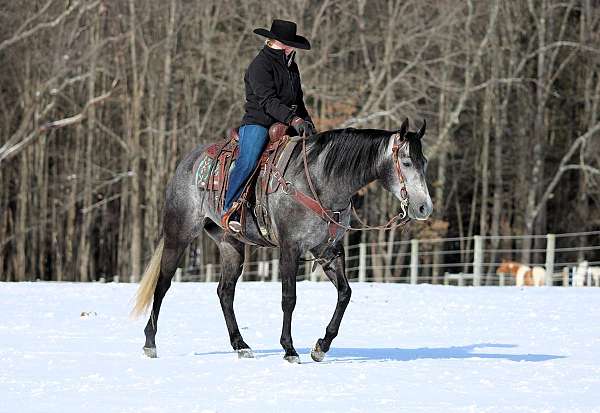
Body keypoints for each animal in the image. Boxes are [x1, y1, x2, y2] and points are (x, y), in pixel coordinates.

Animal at [132, 117, 432, 362]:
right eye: (406, 162)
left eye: (424, 163)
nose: (424, 208)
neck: (320, 180)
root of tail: (188, 163)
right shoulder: (290, 248)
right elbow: (289, 297)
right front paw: (289, 349)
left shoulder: (328, 250)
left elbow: (345, 293)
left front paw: (321, 346)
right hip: (179, 234)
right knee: (163, 284)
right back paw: (150, 343)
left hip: (231, 245)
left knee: (225, 292)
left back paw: (241, 345)